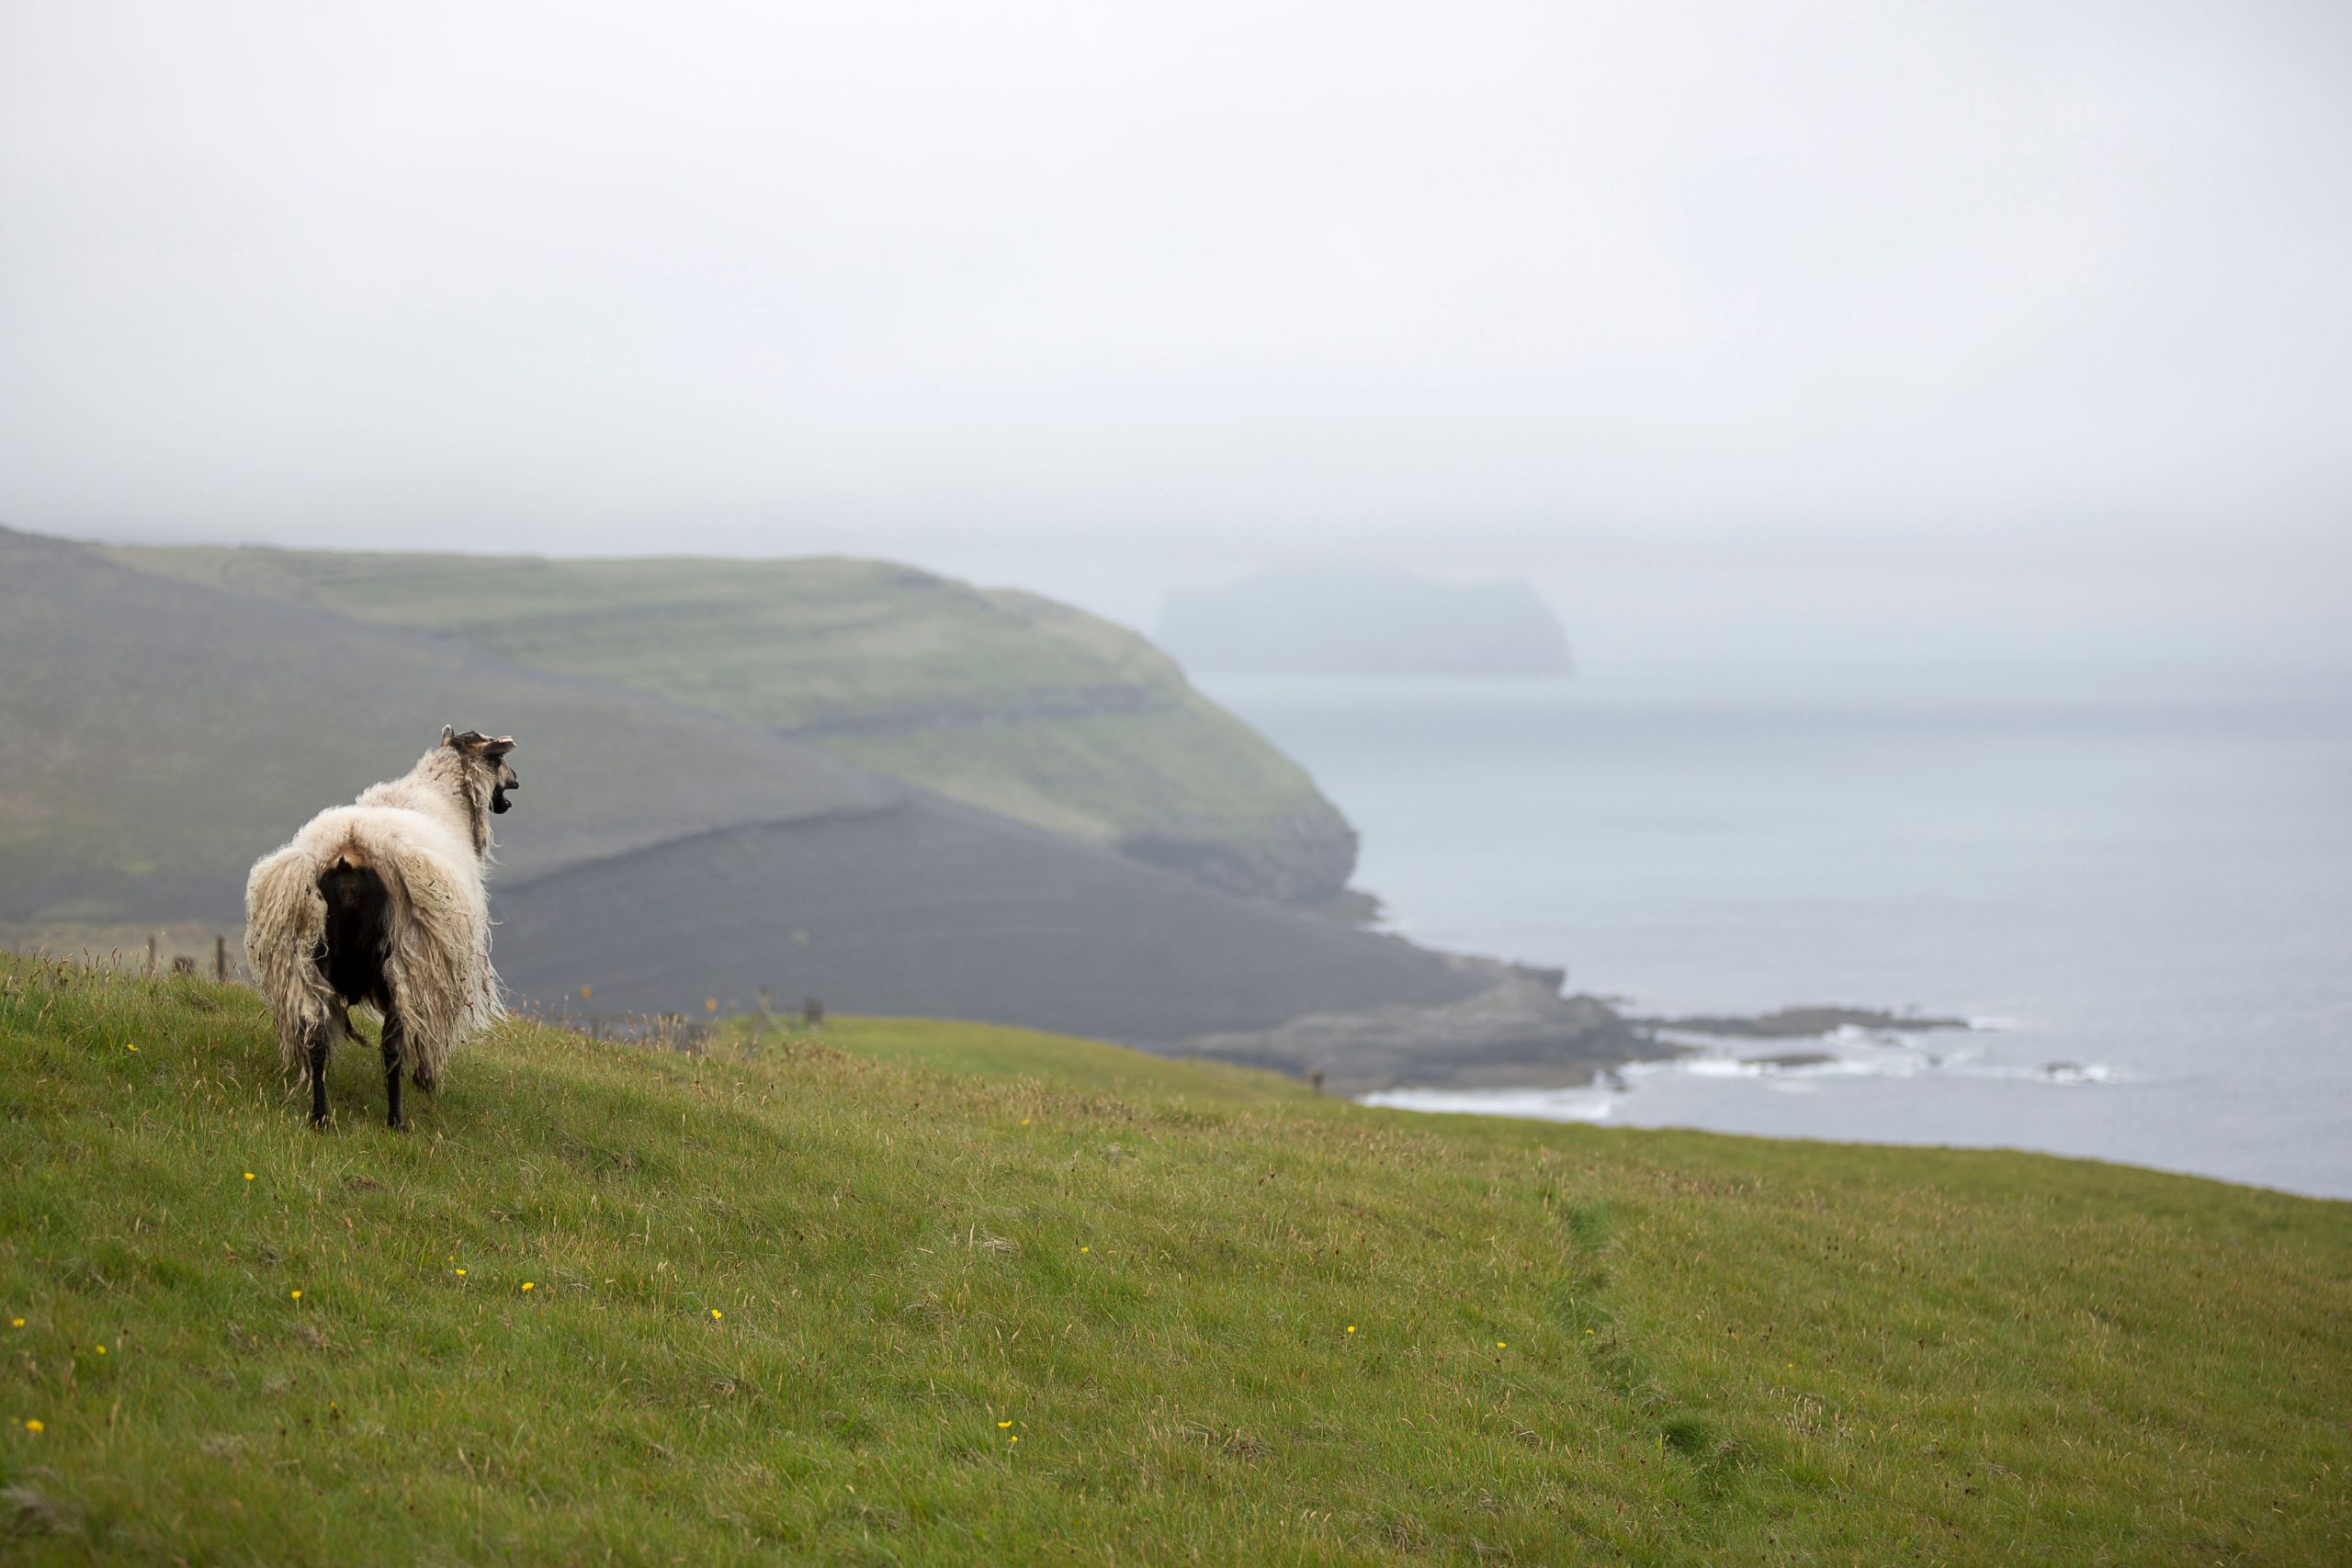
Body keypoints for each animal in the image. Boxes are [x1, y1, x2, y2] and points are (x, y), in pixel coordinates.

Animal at [245, 726, 520, 1128]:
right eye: (498, 758)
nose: (516, 781)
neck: (441, 796)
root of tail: (349, 848)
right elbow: (423, 1039)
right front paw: (427, 1082)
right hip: (403, 961)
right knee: (392, 1046)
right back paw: (397, 1121)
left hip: (306, 957)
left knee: (315, 1037)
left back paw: (320, 1117)